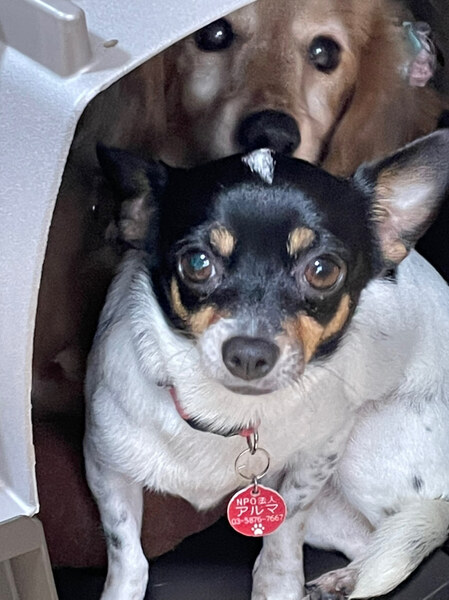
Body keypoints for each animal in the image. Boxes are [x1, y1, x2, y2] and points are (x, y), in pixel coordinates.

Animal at [84, 129, 449, 600]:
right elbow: (126, 552)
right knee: (369, 541)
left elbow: (286, 526)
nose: (249, 353)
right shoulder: (105, 465)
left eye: (323, 270)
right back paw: (345, 580)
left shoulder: (321, 453)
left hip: (364, 453)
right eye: (197, 263)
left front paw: (276, 586)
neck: (225, 414)